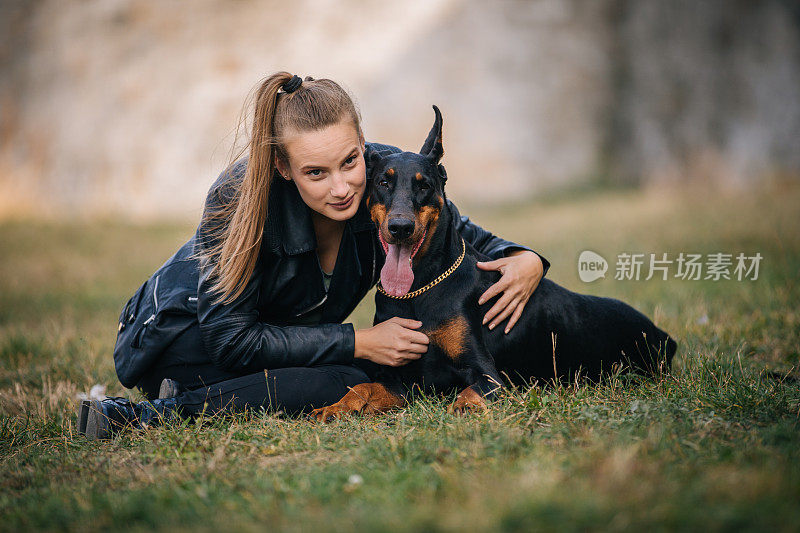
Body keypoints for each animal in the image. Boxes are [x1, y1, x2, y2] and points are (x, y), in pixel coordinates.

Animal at [310, 104, 676, 420]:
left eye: (424, 185)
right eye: (383, 182)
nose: (401, 227)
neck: (421, 290)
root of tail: (664, 335)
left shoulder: (487, 375)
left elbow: (471, 391)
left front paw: (463, 408)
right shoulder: (402, 375)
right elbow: (362, 385)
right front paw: (335, 407)